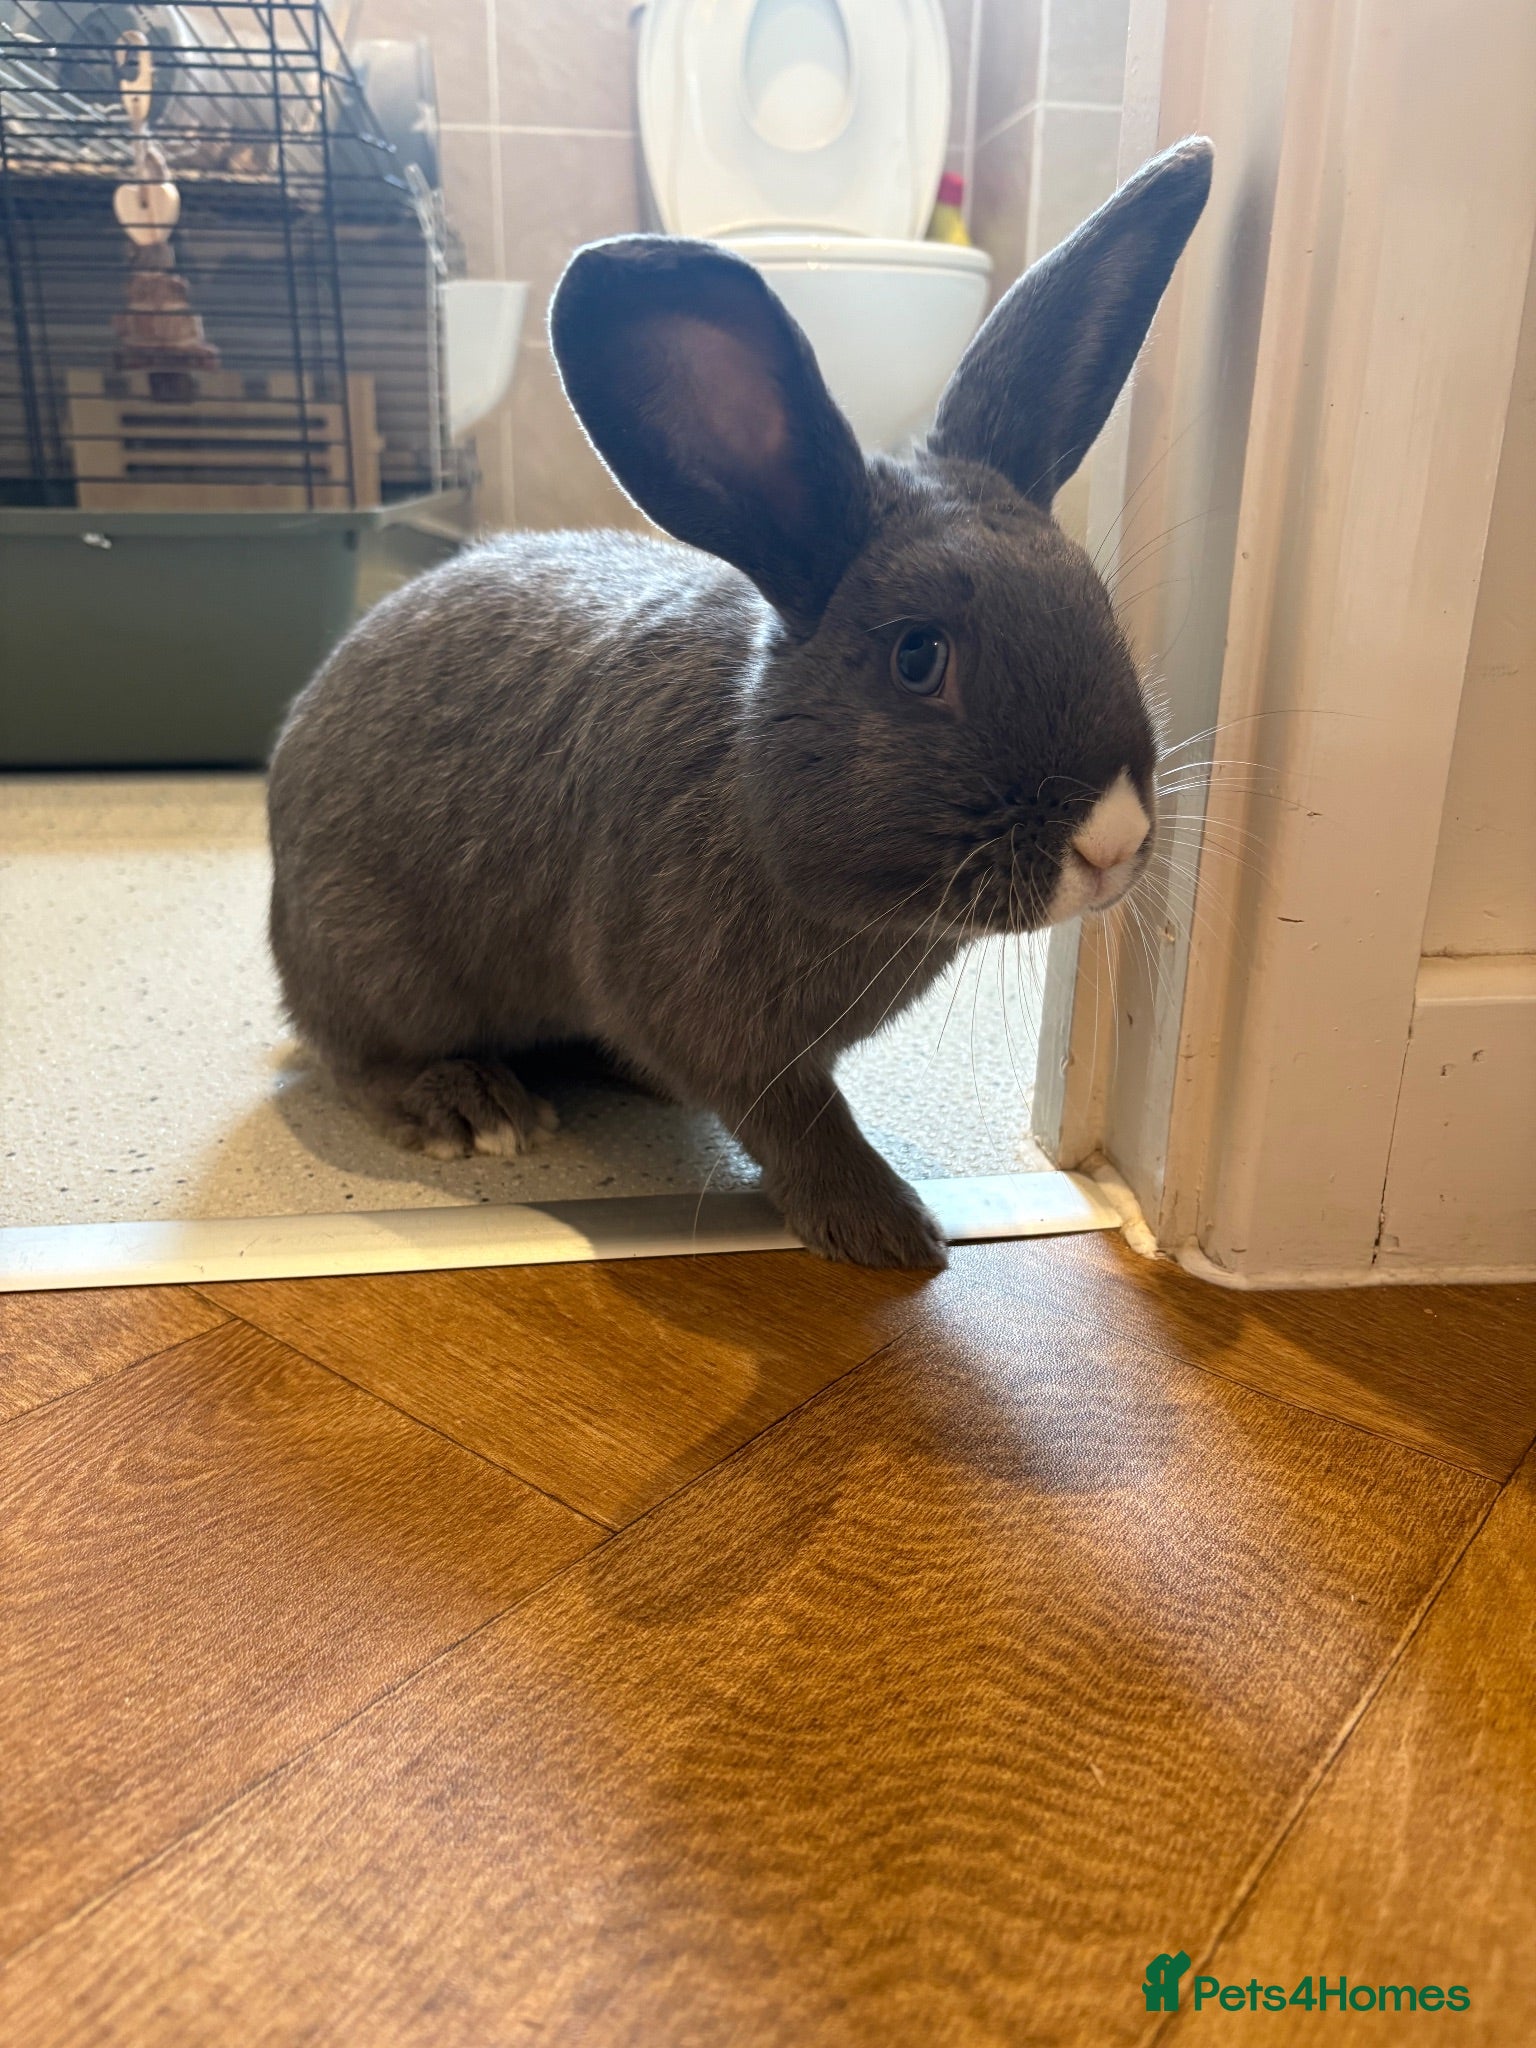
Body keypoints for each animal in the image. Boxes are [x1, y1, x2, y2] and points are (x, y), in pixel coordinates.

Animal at [266, 137, 1213, 1272]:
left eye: (1096, 602)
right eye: (918, 657)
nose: (1113, 838)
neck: (756, 778)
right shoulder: (718, 1023)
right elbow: (796, 1117)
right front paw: (890, 1231)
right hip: (369, 954)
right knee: (352, 1057)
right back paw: (470, 1107)